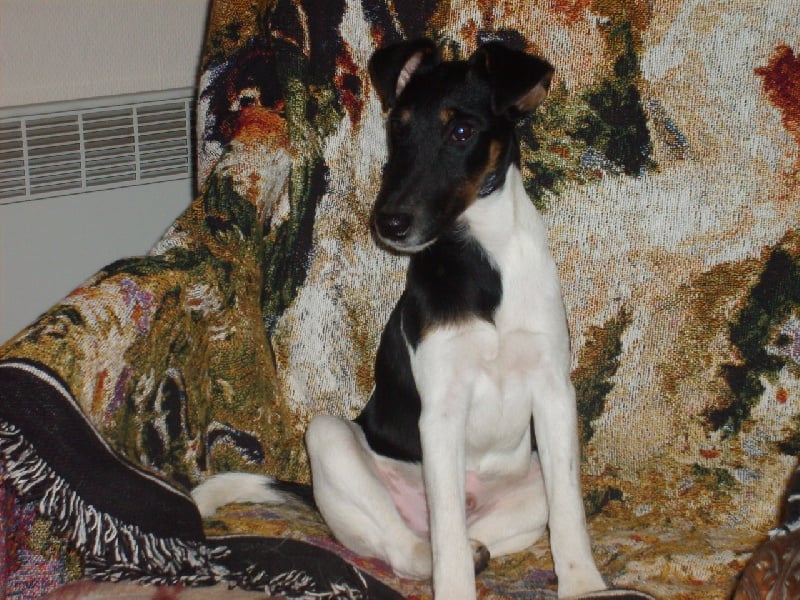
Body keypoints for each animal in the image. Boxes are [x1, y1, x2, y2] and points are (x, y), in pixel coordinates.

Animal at [193, 39, 607, 599]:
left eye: (461, 131)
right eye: (398, 130)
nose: (388, 222)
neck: (484, 261)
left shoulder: (553, 393)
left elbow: (569, 511)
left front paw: (583, 582)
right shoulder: (442, 412)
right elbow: (447, 538)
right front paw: (454, 587)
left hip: (530, 481)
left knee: (480, 528)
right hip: (329, 438)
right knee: (410, 543)